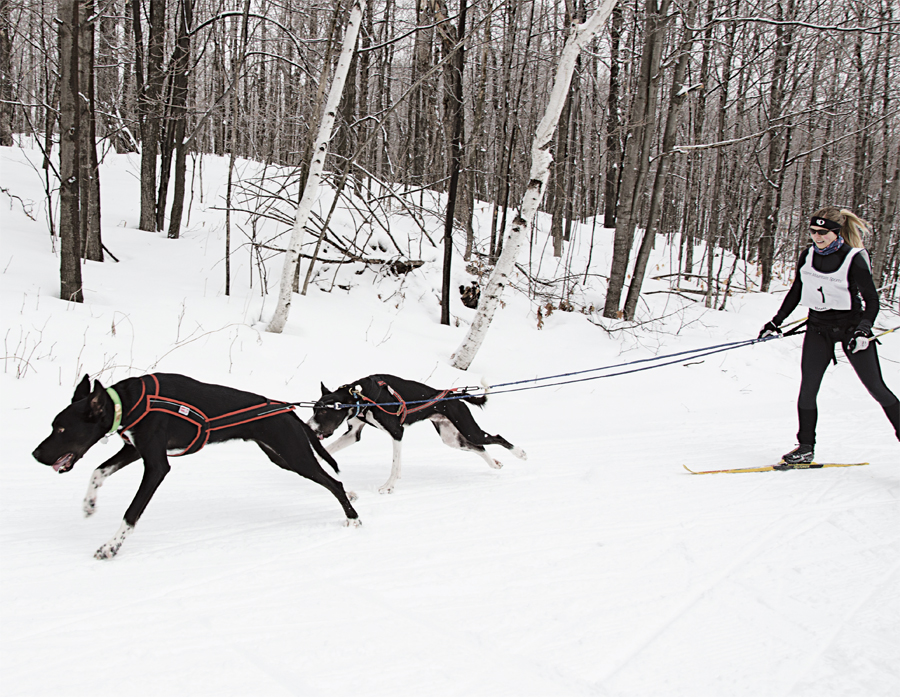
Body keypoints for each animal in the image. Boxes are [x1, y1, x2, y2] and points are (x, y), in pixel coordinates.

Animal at [35, 372, 358, 556]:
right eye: (53, 426)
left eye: (61, 429)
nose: (36, 455)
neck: (128, 403)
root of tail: (287, 410)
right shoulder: (135, 450)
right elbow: (97, 471)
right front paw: (89, 504)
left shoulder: (156, 466)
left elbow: (131, 513)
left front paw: (111, 546)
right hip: (282, 458)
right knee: (330, 479)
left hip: (295, 456)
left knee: (334, 482)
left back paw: (353, 517)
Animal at [308, 372, 524, 492]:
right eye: (314, 410)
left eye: (324, 411)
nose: (309, 427)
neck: (360, 396)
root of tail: (452, 395)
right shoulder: (353, 434)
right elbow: (326, 451)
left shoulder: (397, 433)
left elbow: (395, 464)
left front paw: (389, 486)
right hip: (452, 439)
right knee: (480, 447)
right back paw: (495, 463)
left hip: (469, 429)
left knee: (495, 437)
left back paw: (520, 453)